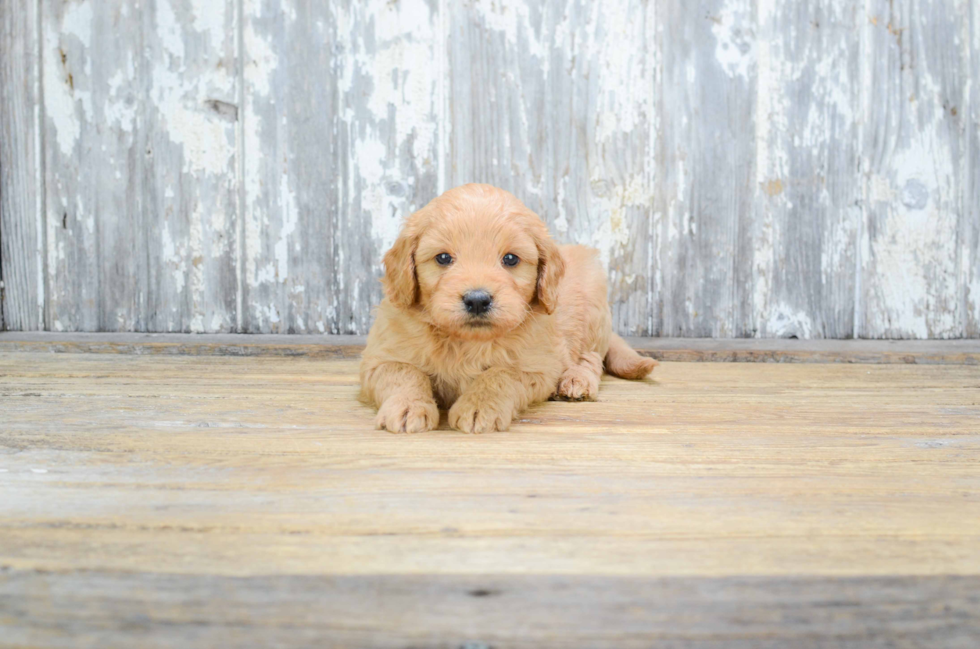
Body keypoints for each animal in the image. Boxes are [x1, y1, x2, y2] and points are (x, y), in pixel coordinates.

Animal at [360, 185, 660, 432]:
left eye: (511, 259)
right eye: (443, 258)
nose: (477, 300)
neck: (466, 342)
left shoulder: (537, 365)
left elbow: (500, 374)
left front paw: (478, 407)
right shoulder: (380, 357)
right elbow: (403, 372)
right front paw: (408, 406)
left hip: (594, 307)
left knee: (591, 357)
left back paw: (576, 381)